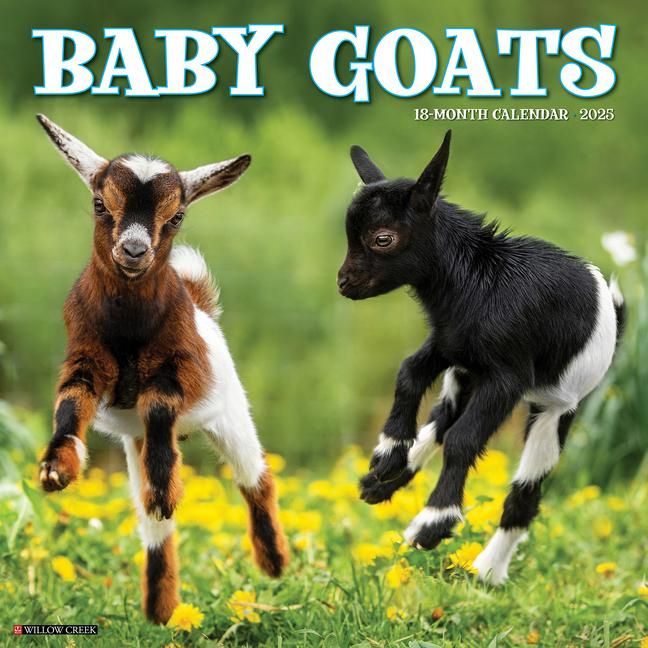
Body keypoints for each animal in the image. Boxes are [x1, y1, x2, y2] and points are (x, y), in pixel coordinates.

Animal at [36, 115, 289, 623]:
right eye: (99, 203)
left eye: (177, 216)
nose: (134, 251)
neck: (131, 327)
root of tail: (201, 304)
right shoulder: (86, 358)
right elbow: (69, 404)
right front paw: (57, 469)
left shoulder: (182, 368)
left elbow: (157, 402)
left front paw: (166, 491)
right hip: (132, 446)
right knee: (154, 529)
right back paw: (162, 610)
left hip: (231, 415)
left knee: (256, 477)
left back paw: (273, 562)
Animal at [337, 131, 625, 585]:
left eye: (382, 238)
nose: (344, 283)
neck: (479, 279)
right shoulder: (449, 345)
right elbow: (408, 373)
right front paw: (387, 453)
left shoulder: (507, 377)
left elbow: (464, 440)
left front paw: (432, 525)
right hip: (464, 377)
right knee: (440, 422)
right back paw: (381, 482)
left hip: (554, 408)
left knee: (523, 494)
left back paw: (487, 571)